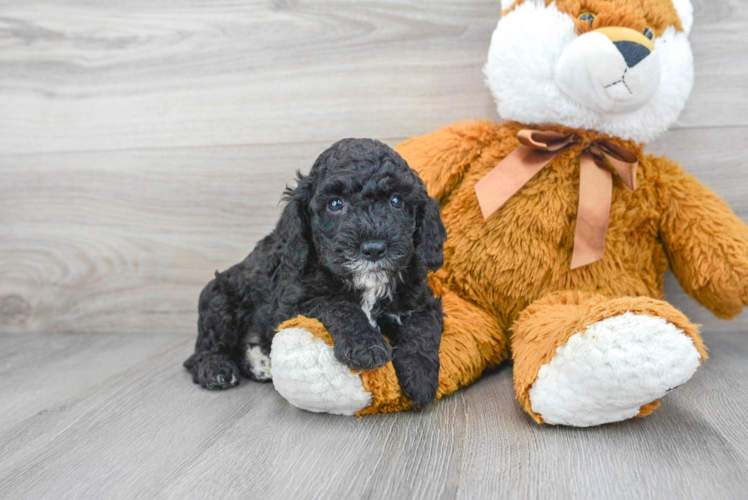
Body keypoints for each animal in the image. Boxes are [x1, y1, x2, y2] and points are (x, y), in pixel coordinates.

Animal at [185, 137, 448, 406]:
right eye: (335, 204)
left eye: (396, 201)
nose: (374, 248)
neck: (367, 285)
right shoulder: (296, 300)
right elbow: (339, 305)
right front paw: (367, 346)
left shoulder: (421, 301)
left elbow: (422, 329)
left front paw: (421, 378)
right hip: (219, 299)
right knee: (205, 348)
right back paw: (216, 369)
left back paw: (260, 363)